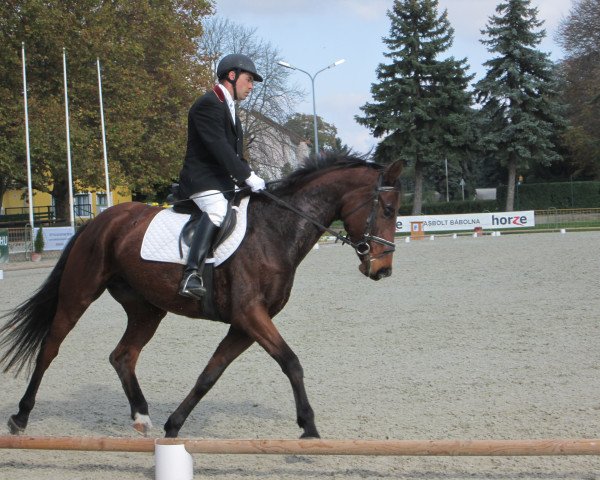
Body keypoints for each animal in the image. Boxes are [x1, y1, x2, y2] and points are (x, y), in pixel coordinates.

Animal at [1, 155, 404, 438]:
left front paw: (174, 425)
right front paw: (309, 427)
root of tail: (98, 221)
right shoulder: (250, 315)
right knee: (50, 347)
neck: (274, 231)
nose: (382, 269)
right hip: (79, 293)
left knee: (123, 355)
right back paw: (21, 416)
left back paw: (142, 416)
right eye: (387, 210)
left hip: (147, 309)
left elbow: (210, 374)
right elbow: (291, 362)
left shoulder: (244, 324)